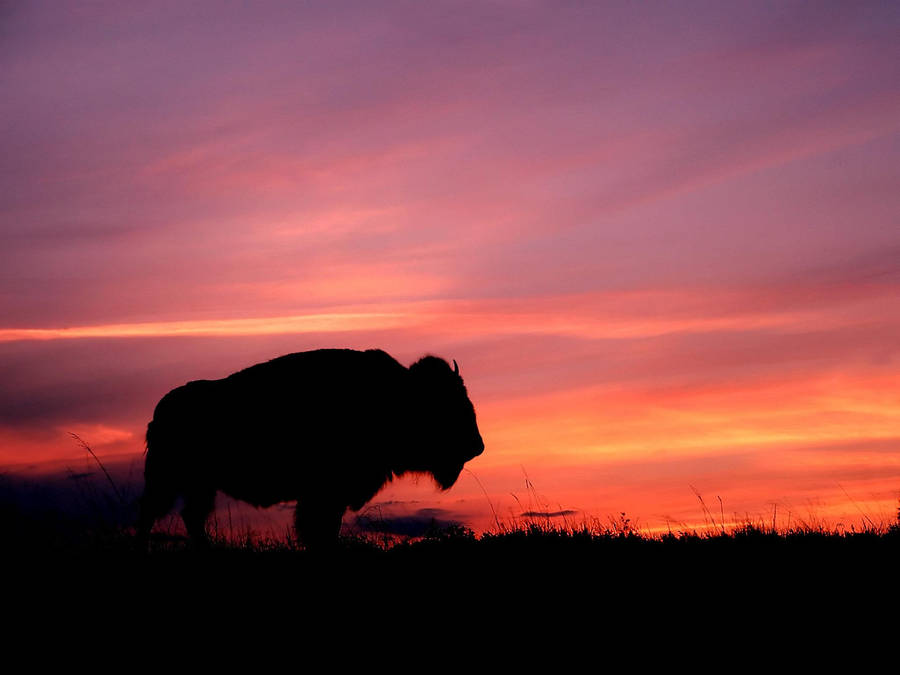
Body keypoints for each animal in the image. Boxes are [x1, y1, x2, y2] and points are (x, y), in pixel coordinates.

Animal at [137, 348, 484, 548]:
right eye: (448, 402)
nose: (477, 446)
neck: (398, 393)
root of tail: (161, 410)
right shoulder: (323, 495)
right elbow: (319, 528)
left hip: (199, 486)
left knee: (191, 515)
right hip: (167, 479)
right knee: (151, 512)